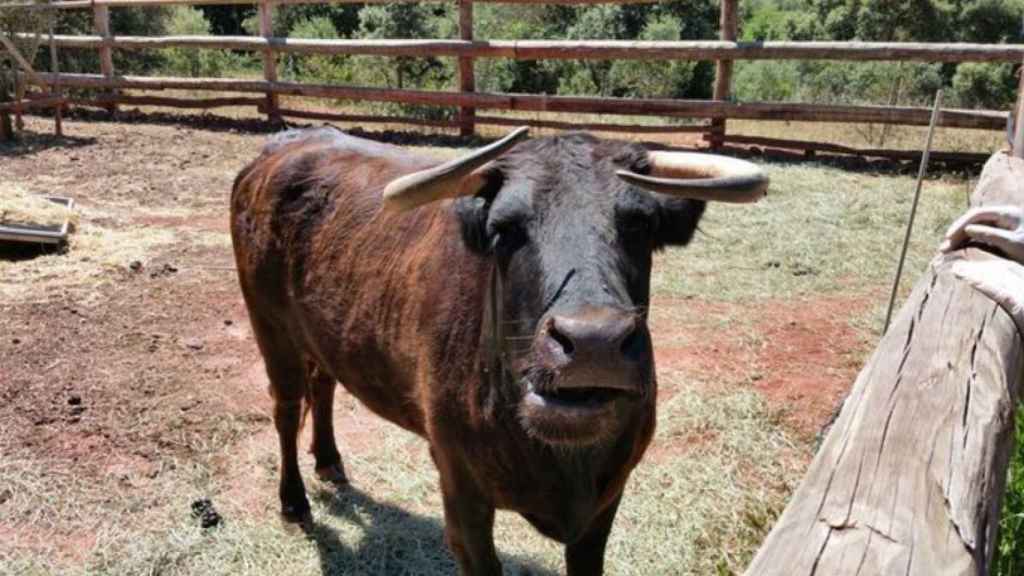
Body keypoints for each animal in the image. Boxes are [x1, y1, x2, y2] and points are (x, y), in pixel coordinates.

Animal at [228, 126, 765, 573]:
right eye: (505, 229)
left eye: (640, 225)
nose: (594, 342)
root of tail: (281, 146)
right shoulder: (462, 498)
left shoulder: (604, 506)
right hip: (270, 328)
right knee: (286, 409)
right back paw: (294, 502)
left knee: (323, 386)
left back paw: (329, 462)